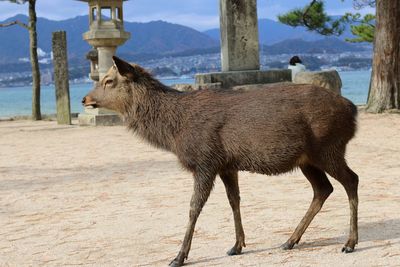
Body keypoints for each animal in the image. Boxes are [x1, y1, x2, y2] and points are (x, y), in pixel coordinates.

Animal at [82, 57, 360, 267]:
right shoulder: (227, 165)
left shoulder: (205, 160)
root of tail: (352, 109)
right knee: (323, 189)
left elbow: (194, 207)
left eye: (109, 80)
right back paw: (290, 240)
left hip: (329, 147)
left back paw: (349, 242)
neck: (175, 133)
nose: (85, 99)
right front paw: (237, 245)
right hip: (307, 159)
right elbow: (234, 200)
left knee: (351, 180)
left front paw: (179, 257)